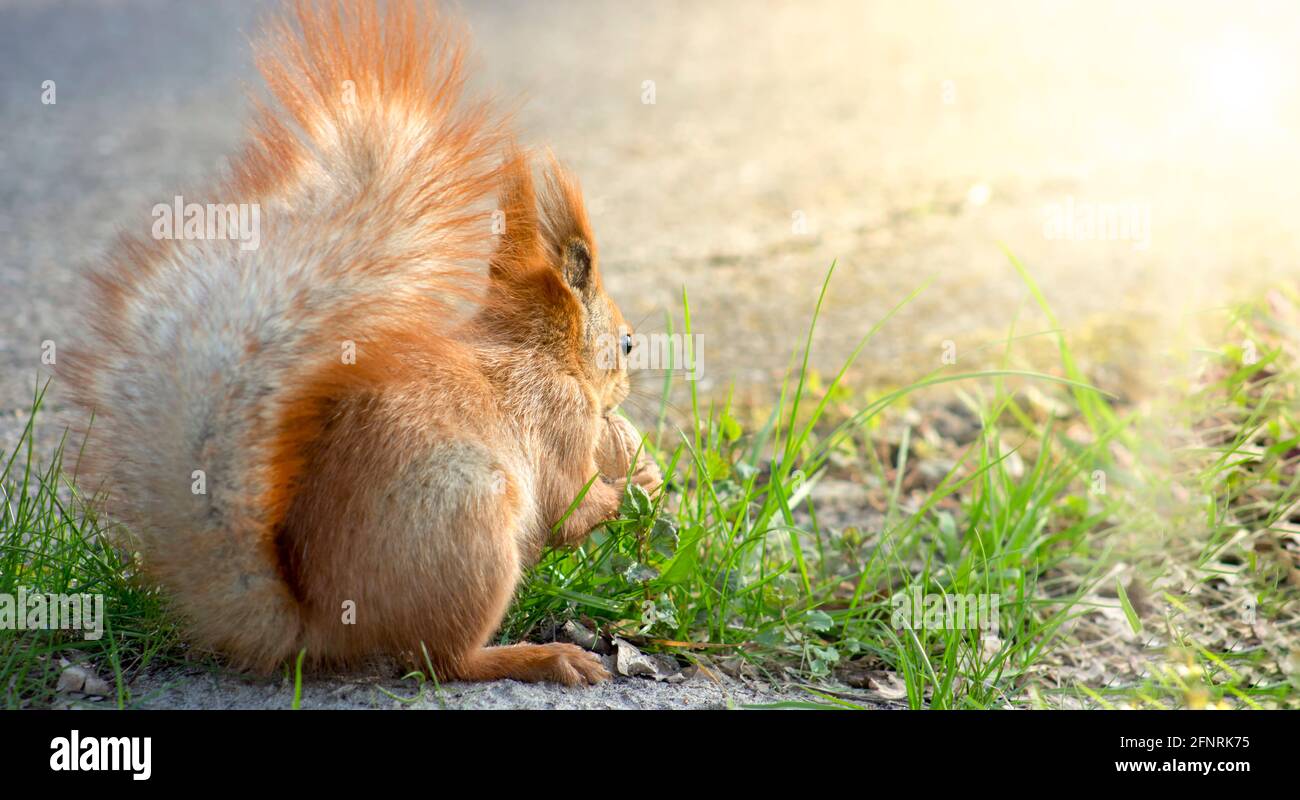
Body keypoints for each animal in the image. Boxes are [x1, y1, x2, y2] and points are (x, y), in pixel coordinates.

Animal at [62, 0, 661, 686]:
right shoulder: (559, 420)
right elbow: (567, 508)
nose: (626, 390)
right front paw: (639, 486)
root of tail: (323, 628)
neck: (537, 351)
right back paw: (543, 655)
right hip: (472, 524)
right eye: (628, 344)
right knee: (443, 659)